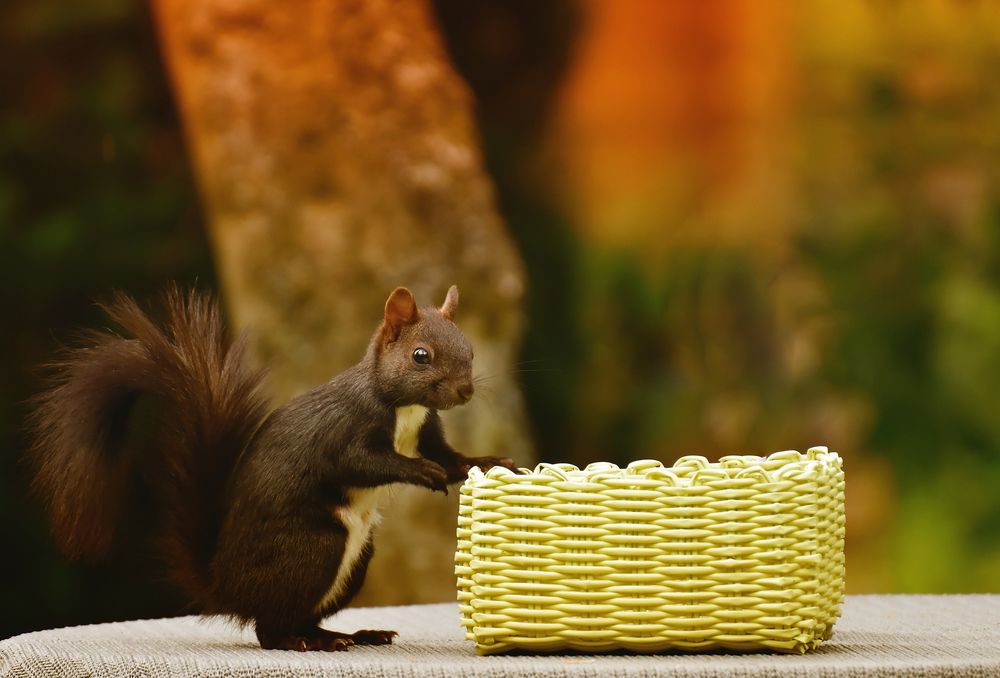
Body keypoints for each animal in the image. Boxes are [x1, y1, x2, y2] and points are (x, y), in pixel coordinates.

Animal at [27, 284, 517, 651]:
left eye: (470, 350)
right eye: (420, 355)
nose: (465, 391)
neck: (405, 409)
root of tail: (226, 587)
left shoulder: (428, 432)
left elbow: (454, 461)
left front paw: (489, 461)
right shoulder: (344, 433)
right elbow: (367, 462)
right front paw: (421, 472)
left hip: (354, 560)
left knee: (298, 618)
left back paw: (351, 634)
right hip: (315, 546)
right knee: (269, 629)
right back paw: (311, 642)